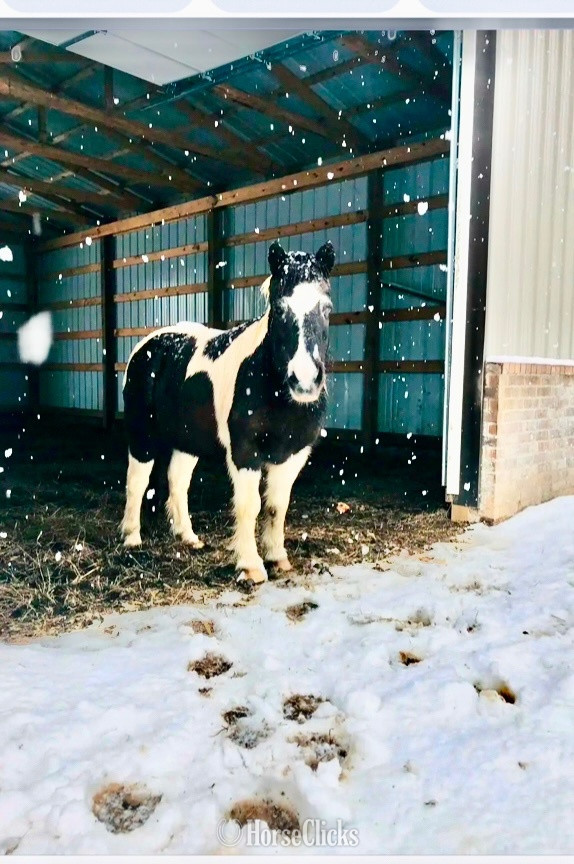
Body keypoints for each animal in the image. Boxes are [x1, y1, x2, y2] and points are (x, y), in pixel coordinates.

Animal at [120, 240, 335, 584]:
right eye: (279, 309)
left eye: (326, 308)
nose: (303, 380)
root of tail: (146, 345)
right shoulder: (245, 452)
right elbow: (249, 506)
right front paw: (250, 566)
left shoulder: (293, 454)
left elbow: (277, 506)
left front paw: (277, 558)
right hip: (142, 436)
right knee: (137, 482)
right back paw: (131, 538)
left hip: (187, 440)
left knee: (178, 482)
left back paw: (188, 537)